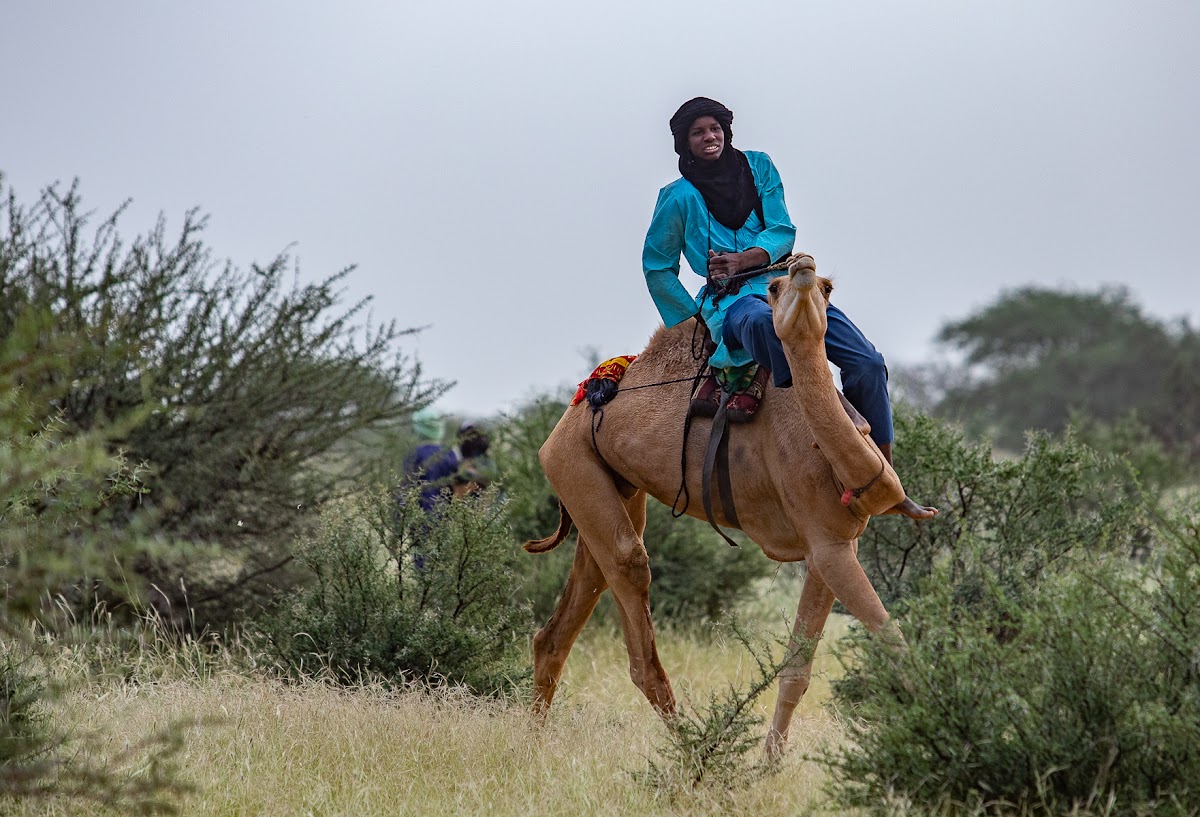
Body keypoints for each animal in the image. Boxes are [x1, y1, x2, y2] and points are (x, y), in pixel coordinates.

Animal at [528, 251, 936, 753]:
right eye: (773, 289)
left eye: (828, 288)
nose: (802, 267)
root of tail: (579, 401)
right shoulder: (829, 543)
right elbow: (894, 643)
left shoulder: (833, 542)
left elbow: (797, 672)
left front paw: (769, 764)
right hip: (569, 461)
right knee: (633, 592)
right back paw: (693, 752)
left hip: (608, 485)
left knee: (565, 619)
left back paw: (530, 742)